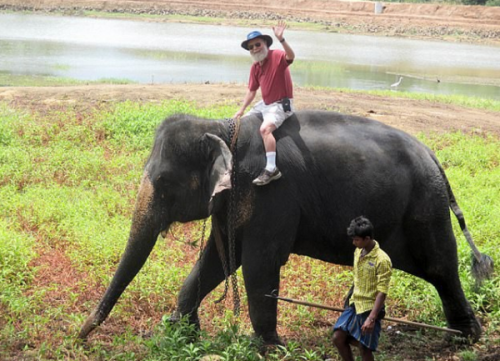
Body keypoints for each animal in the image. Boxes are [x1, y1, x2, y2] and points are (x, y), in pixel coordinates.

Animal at [78, 109, 492, 344]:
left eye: (164, 183)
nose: (83, 333)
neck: (221, 126)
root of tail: (434, 158)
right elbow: (215, 261)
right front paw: (180, 330)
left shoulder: (270, 195)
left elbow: (259, 264)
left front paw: (269, 346)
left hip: (425, 207)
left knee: (440, 266)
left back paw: (464, 338)